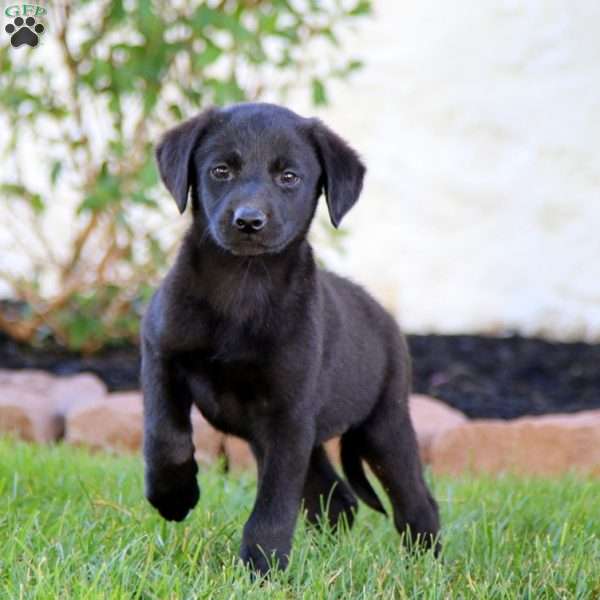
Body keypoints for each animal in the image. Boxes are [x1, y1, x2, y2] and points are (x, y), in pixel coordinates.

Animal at [141, 102, 440, 572]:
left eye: (289, 177)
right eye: (220, 170)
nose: (248, 221)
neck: (243, 287)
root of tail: (386, 319)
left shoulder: (288, 415)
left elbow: (274, 505)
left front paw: (260, 568)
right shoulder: (160, 353)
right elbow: (164, 435)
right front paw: (173, 496)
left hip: (383, 424)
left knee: (416, 502)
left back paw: (426, 566)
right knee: (338, 500)